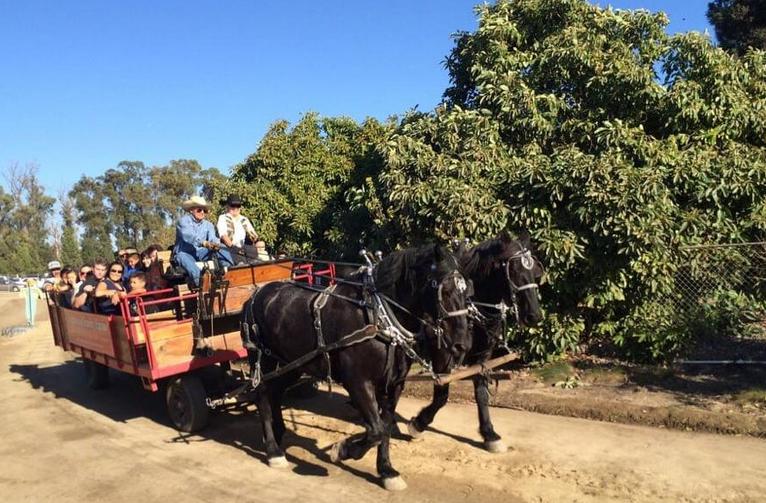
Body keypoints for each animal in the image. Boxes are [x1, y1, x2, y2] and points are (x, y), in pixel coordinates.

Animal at [243, 244, 472, 492]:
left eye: (467, 291)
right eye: (443, 289)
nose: (462, 344)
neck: (378, 317)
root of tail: (256, 295)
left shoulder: (393, 385)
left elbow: (385, 428)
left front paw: (386, 471)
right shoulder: (358, 382)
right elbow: (376, 430)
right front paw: (342, 450)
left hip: (292, 364)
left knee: (275, 392)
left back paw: (277, 434)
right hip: (262, 360)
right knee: (263, 395)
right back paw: (273, 451)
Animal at [408, 231, 544, 452]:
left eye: (534, 270)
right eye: (513, 270)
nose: (534, 315)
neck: (471, 306)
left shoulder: (483, 355)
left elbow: (481, 392)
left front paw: (489, 434)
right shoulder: (443, 354)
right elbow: (441, 395)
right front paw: (418, 424)